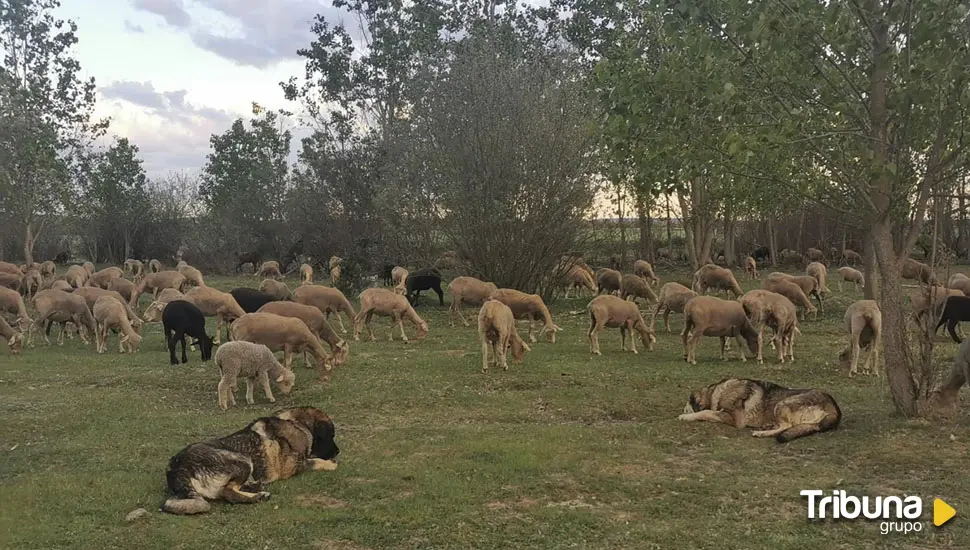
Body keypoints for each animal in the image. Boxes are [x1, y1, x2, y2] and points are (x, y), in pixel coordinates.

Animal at [161, 406, 338, 516]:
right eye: (331, 436)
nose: (338, 451)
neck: (296, 423)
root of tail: (179, 465)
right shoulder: (292, 466)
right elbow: (314, 461)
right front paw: (330, 464)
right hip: (243, 461)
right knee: (228, 492)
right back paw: (257, 496)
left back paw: (253, 486)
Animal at [672, 380, 840, 444]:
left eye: (685, 406)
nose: (683, 409)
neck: (715, 392)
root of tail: (833, 406)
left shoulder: (735, 418)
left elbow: (705, 412)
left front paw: (686, 416)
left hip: (782, 404)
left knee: (786, 426)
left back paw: (761, 433)